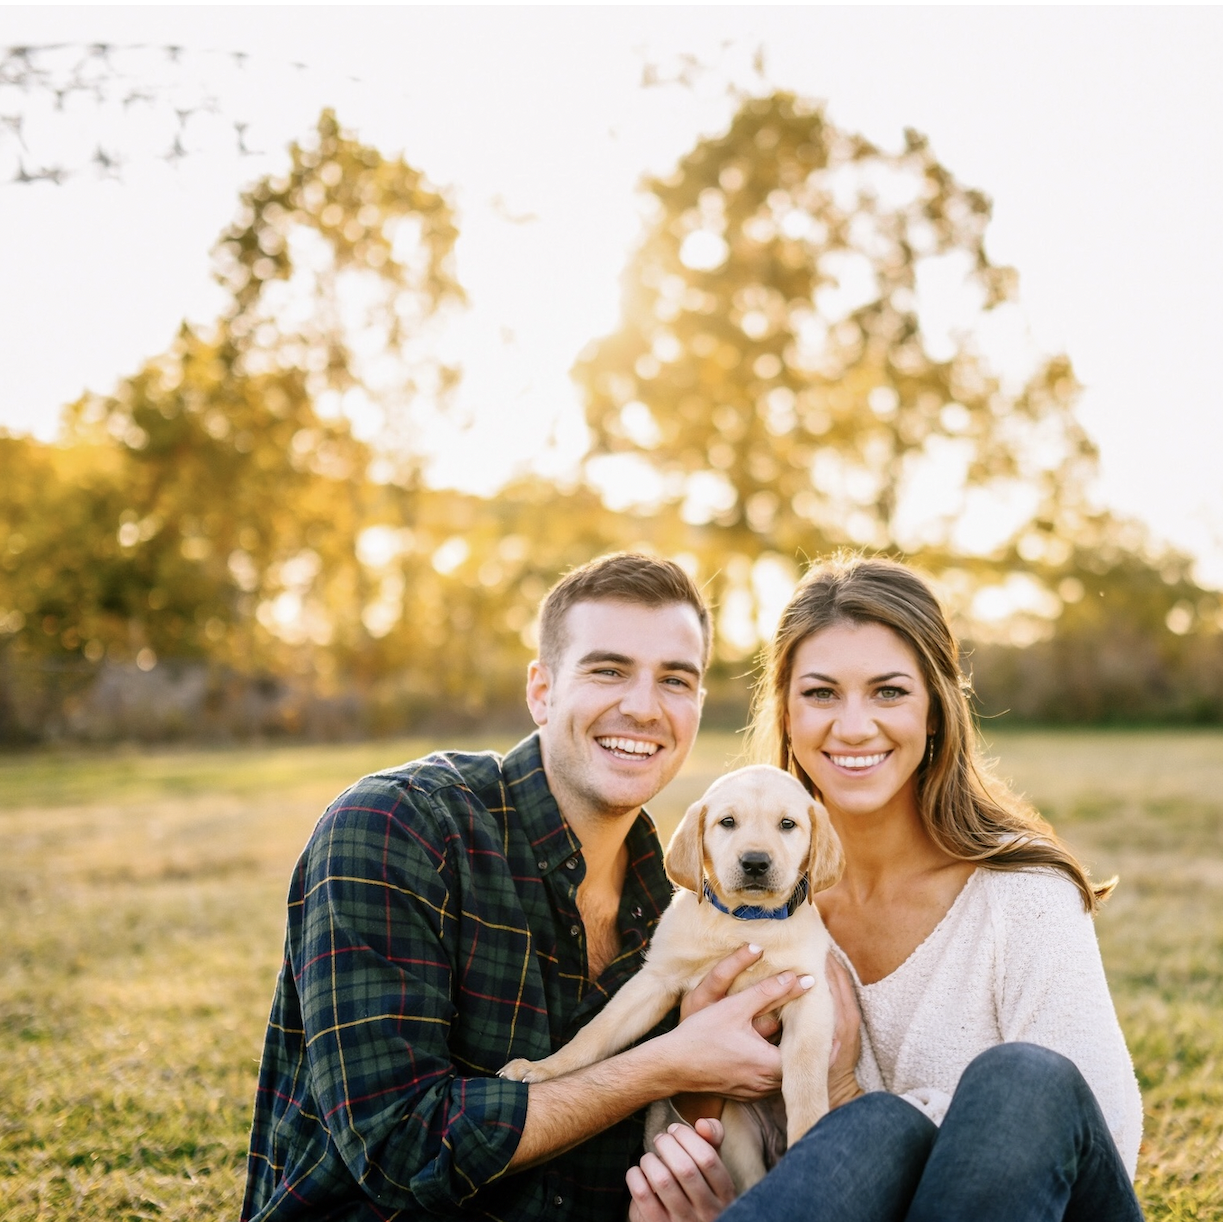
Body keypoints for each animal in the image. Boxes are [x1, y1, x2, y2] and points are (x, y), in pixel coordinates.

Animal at [498, 768, 841, 1188]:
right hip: (738, 1141)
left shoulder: (808, 994)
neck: (746, 921)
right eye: (727, 822)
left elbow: (805, 1077)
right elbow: (594, 1034)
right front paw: (543, 1068)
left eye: (788, 824)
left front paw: (809, 1133)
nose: (755, 863)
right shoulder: (655, 979)